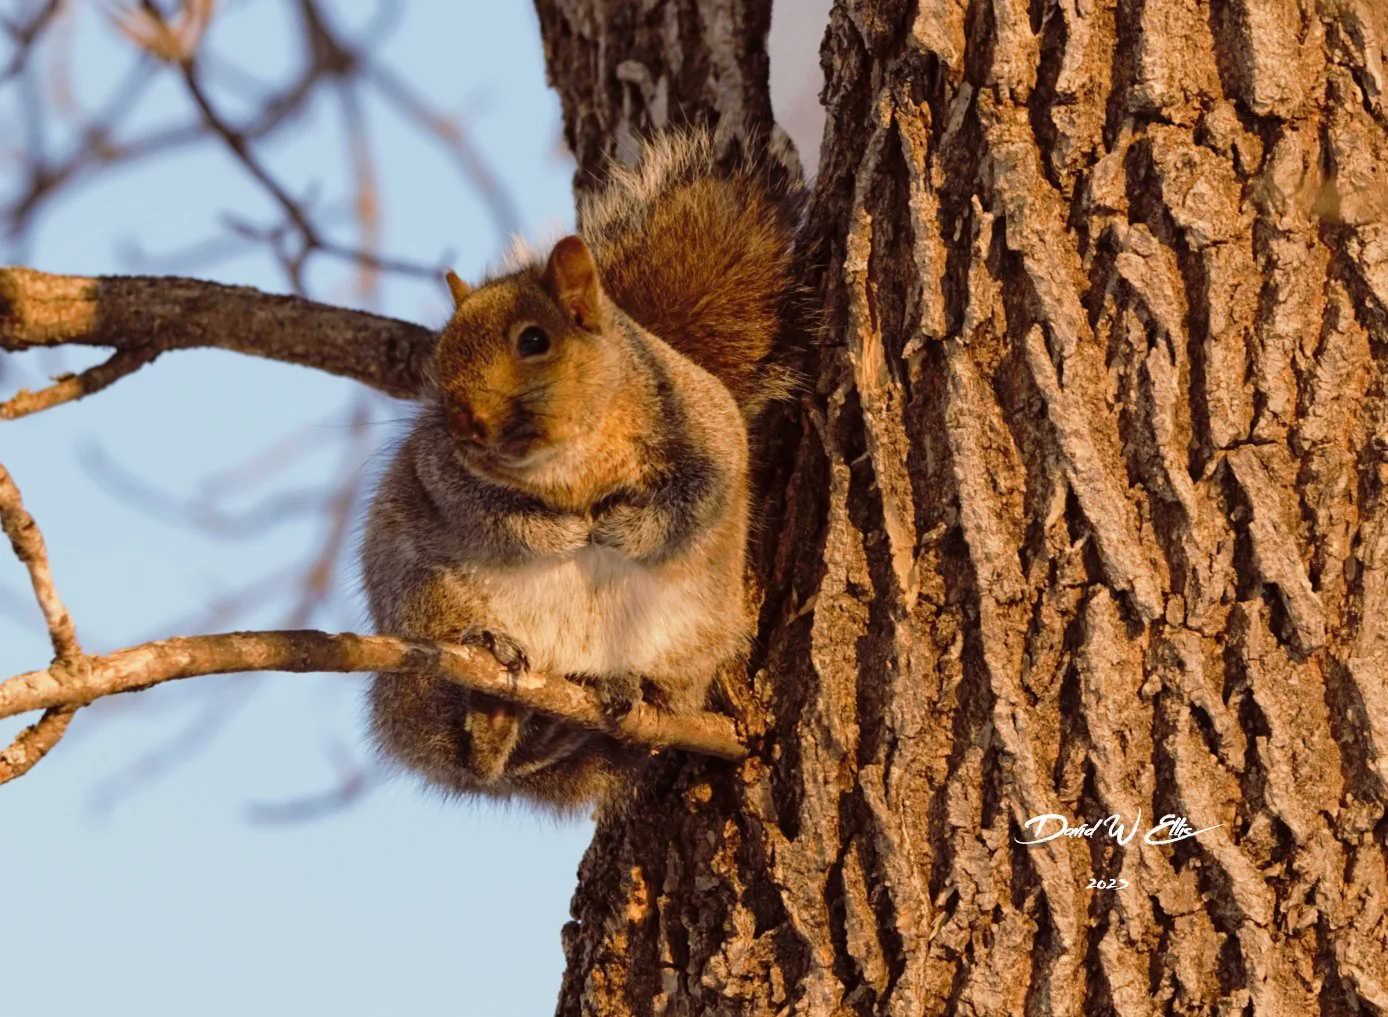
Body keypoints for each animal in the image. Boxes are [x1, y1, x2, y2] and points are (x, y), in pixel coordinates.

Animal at [361, 129, 802, 813]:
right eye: (441, 354)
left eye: (534, 340)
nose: (462, 422)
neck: (572, 458)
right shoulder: (440, 466)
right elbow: (484, 511)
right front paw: (559, 534)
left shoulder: (711, 434)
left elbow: (696, 501)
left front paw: (625, 530)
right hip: (425, 608)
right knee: (475, 755)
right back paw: (493, 707)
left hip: (693, 639)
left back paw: (607, 703)